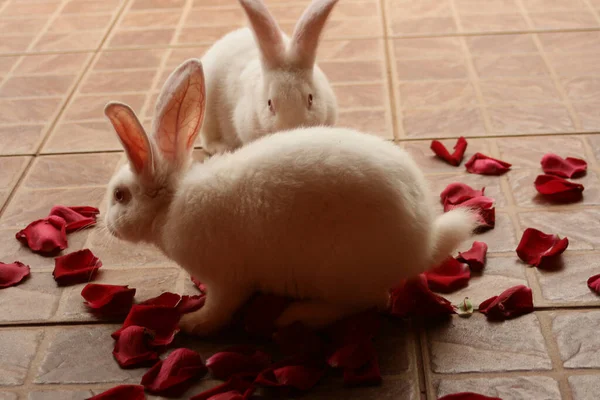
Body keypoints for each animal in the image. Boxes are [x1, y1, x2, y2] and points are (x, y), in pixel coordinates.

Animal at [104, 57, 478, 336]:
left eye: (120, 195)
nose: (106, 225)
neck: (169, 206)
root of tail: (423, 242)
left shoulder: (226, 280)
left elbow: (220, 307)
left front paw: (192, 323)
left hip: (338, 273)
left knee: (369, 301)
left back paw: (299, 315)